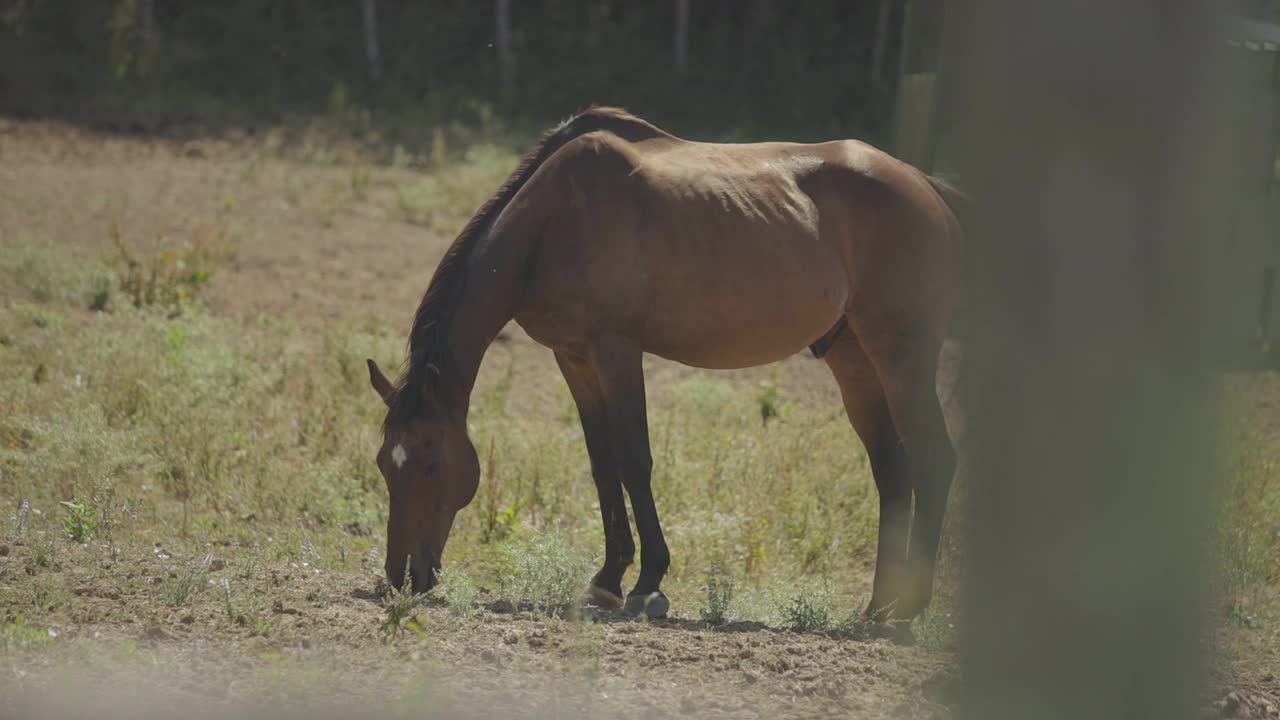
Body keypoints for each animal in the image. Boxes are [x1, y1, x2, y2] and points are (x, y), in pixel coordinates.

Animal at [363, 105, 962, 617]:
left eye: (431, 463)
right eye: (384, 464)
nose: (403, 576)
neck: (553, 219)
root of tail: (925, 185)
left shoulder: (617, 351)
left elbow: (635, 460)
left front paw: (648, 583)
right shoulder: (574, 358)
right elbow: (603, 464)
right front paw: (608, 578)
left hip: (902, 358)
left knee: (933, 462)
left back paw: (906, 612)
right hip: (855, 361)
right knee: (892, 472)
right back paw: (878, 606)